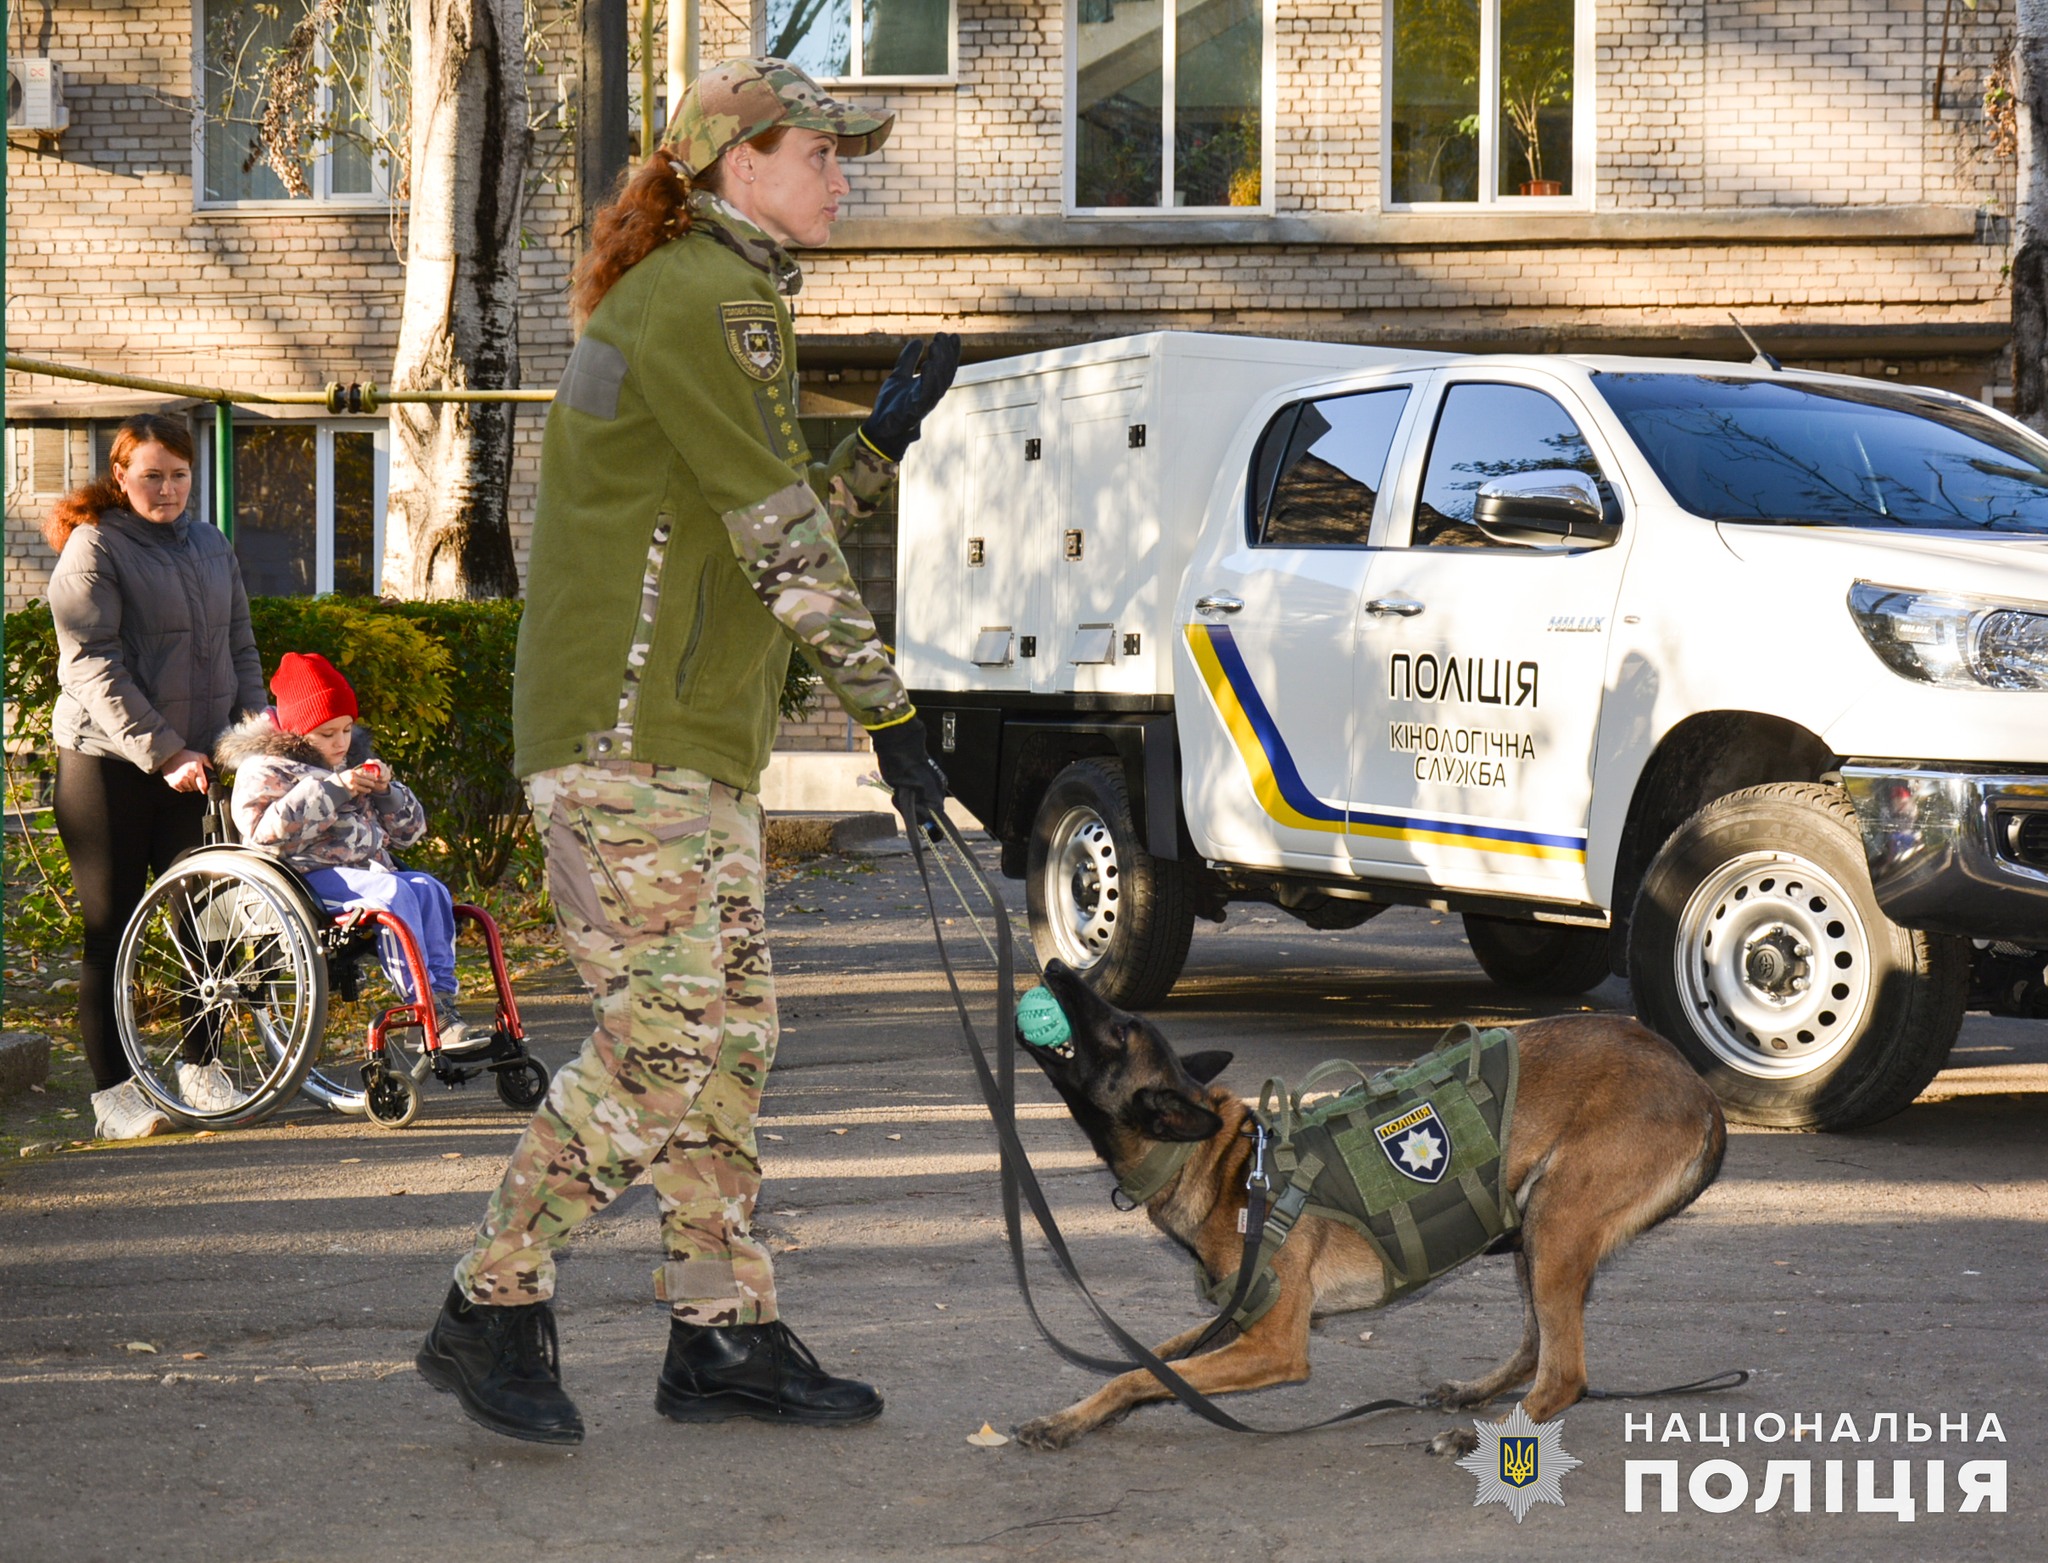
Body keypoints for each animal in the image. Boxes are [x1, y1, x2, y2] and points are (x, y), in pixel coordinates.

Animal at [1015, 958, 1720, 1450]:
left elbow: (1141, 1374)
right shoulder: (1235, 1322)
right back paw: (1476, 1396)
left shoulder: (1276, 1346)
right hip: (1535, 1231)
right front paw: (1069, 1420)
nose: (1055, 969)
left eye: (1117, 1029)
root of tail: (1695, 1085)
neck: (1226, 1165)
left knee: (1565, 1373)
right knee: (1535, 1346)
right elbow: (1146, 1365)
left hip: (1556, 1223)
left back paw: (1488, 1436)